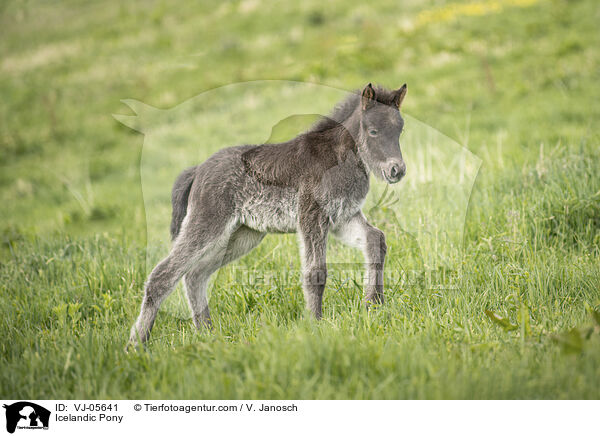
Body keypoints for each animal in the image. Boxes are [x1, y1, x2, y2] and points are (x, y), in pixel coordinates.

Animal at [126, 83, 408, 346]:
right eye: (373, 131)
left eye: (400, 130)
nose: (396, 170)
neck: (337, 158)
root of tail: (198, 170)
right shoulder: (312, 217)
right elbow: (316, 272)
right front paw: (315, 324)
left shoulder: (342, 218)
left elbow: (375, 239)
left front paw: (373, 305)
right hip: (208, 224)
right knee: (164, 275)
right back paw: (137, 344)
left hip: (242, 235)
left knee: (195, 275)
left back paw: (208, 334)